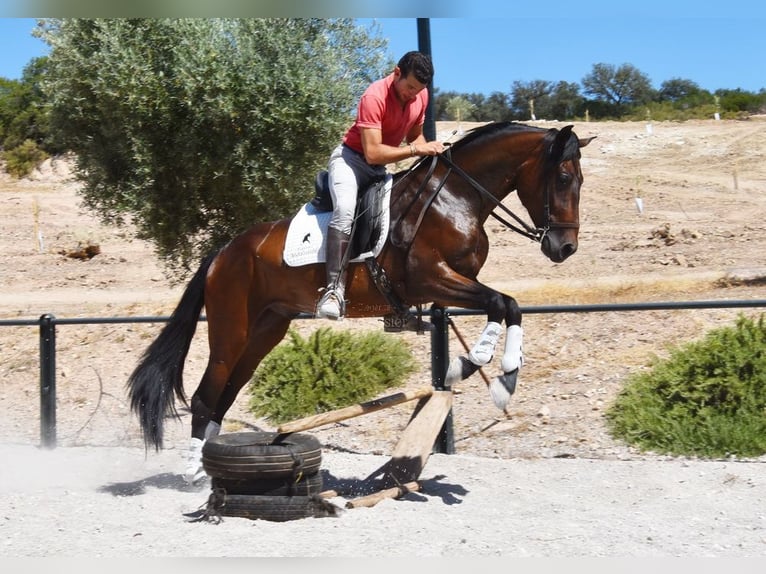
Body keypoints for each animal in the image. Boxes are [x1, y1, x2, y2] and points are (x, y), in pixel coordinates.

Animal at [126, 121, 595, 482]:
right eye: (563, 179)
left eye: (579, 181)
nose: (565, 248)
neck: (456, 197)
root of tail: (223, 252)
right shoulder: (431, 280)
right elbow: (499, 304)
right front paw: (470, 364)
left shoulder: (460, 281)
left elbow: (509, 304)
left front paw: (507, 376)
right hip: (231, 329)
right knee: (207, 396)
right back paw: (194, 472)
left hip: (265, 330)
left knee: (225, 395)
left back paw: (211, 466)